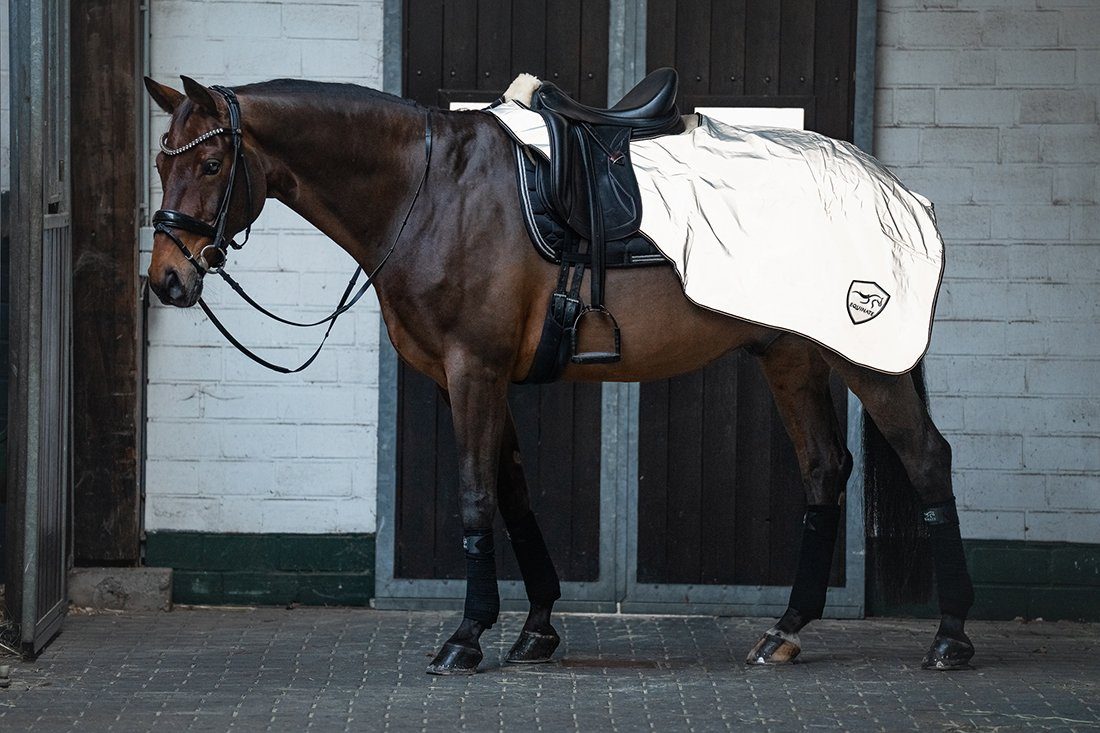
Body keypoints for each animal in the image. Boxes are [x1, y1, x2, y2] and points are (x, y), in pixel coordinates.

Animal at [143, 75, 976, 675]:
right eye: (161, 160)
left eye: (212, 162)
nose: (167, 280)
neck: (430, 189)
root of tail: (894, 187)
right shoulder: (468, 375)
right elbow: (511, 491)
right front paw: (537, 626)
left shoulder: (472, 369)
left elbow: (477, 495)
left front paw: (467, 636)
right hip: (790, 353)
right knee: (823, 470)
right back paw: (785, 630)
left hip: (865, 357)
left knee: (926, 460)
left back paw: (951, 636)